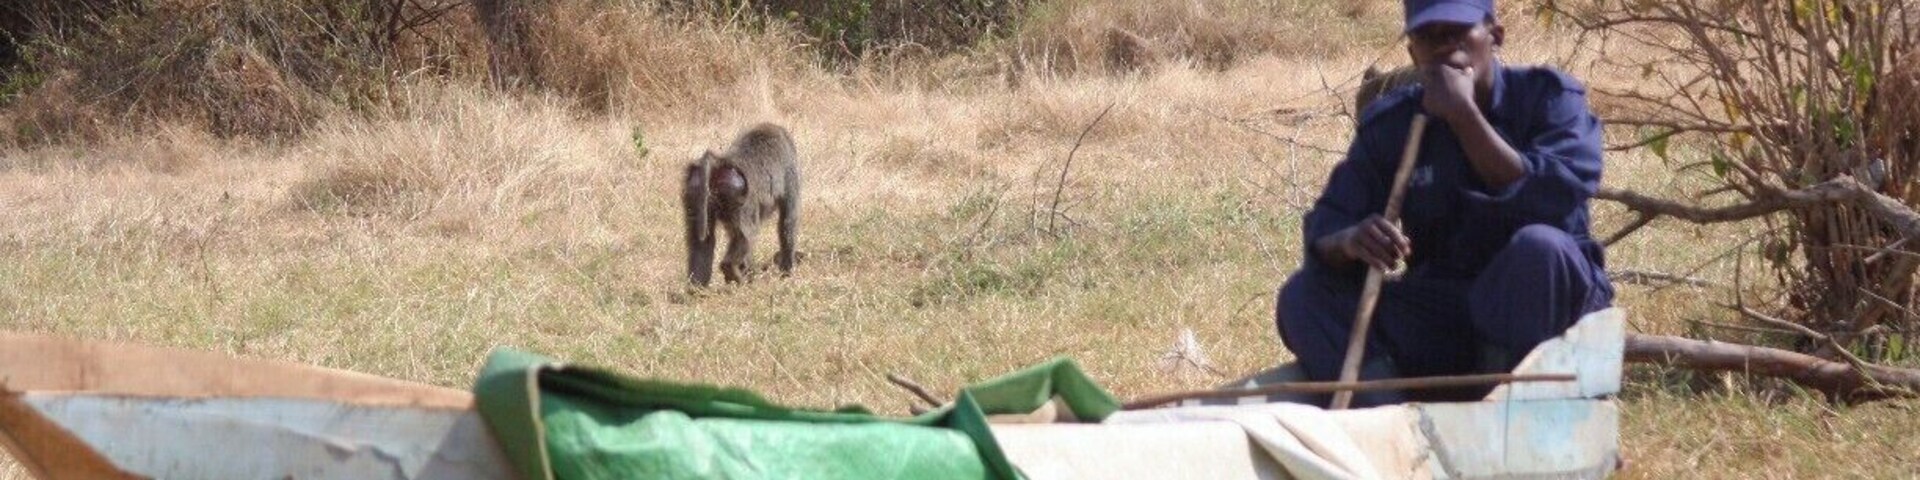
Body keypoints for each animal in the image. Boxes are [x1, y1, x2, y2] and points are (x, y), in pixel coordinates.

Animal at [682, 123, 801, 287]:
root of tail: (719, 163)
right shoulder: (789, 168)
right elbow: (788, 220)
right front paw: (787, 272)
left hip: (695, 190)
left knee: (701, 242)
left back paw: (697, 288)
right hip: (738, 195)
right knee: (747, 235)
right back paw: (733, 273)